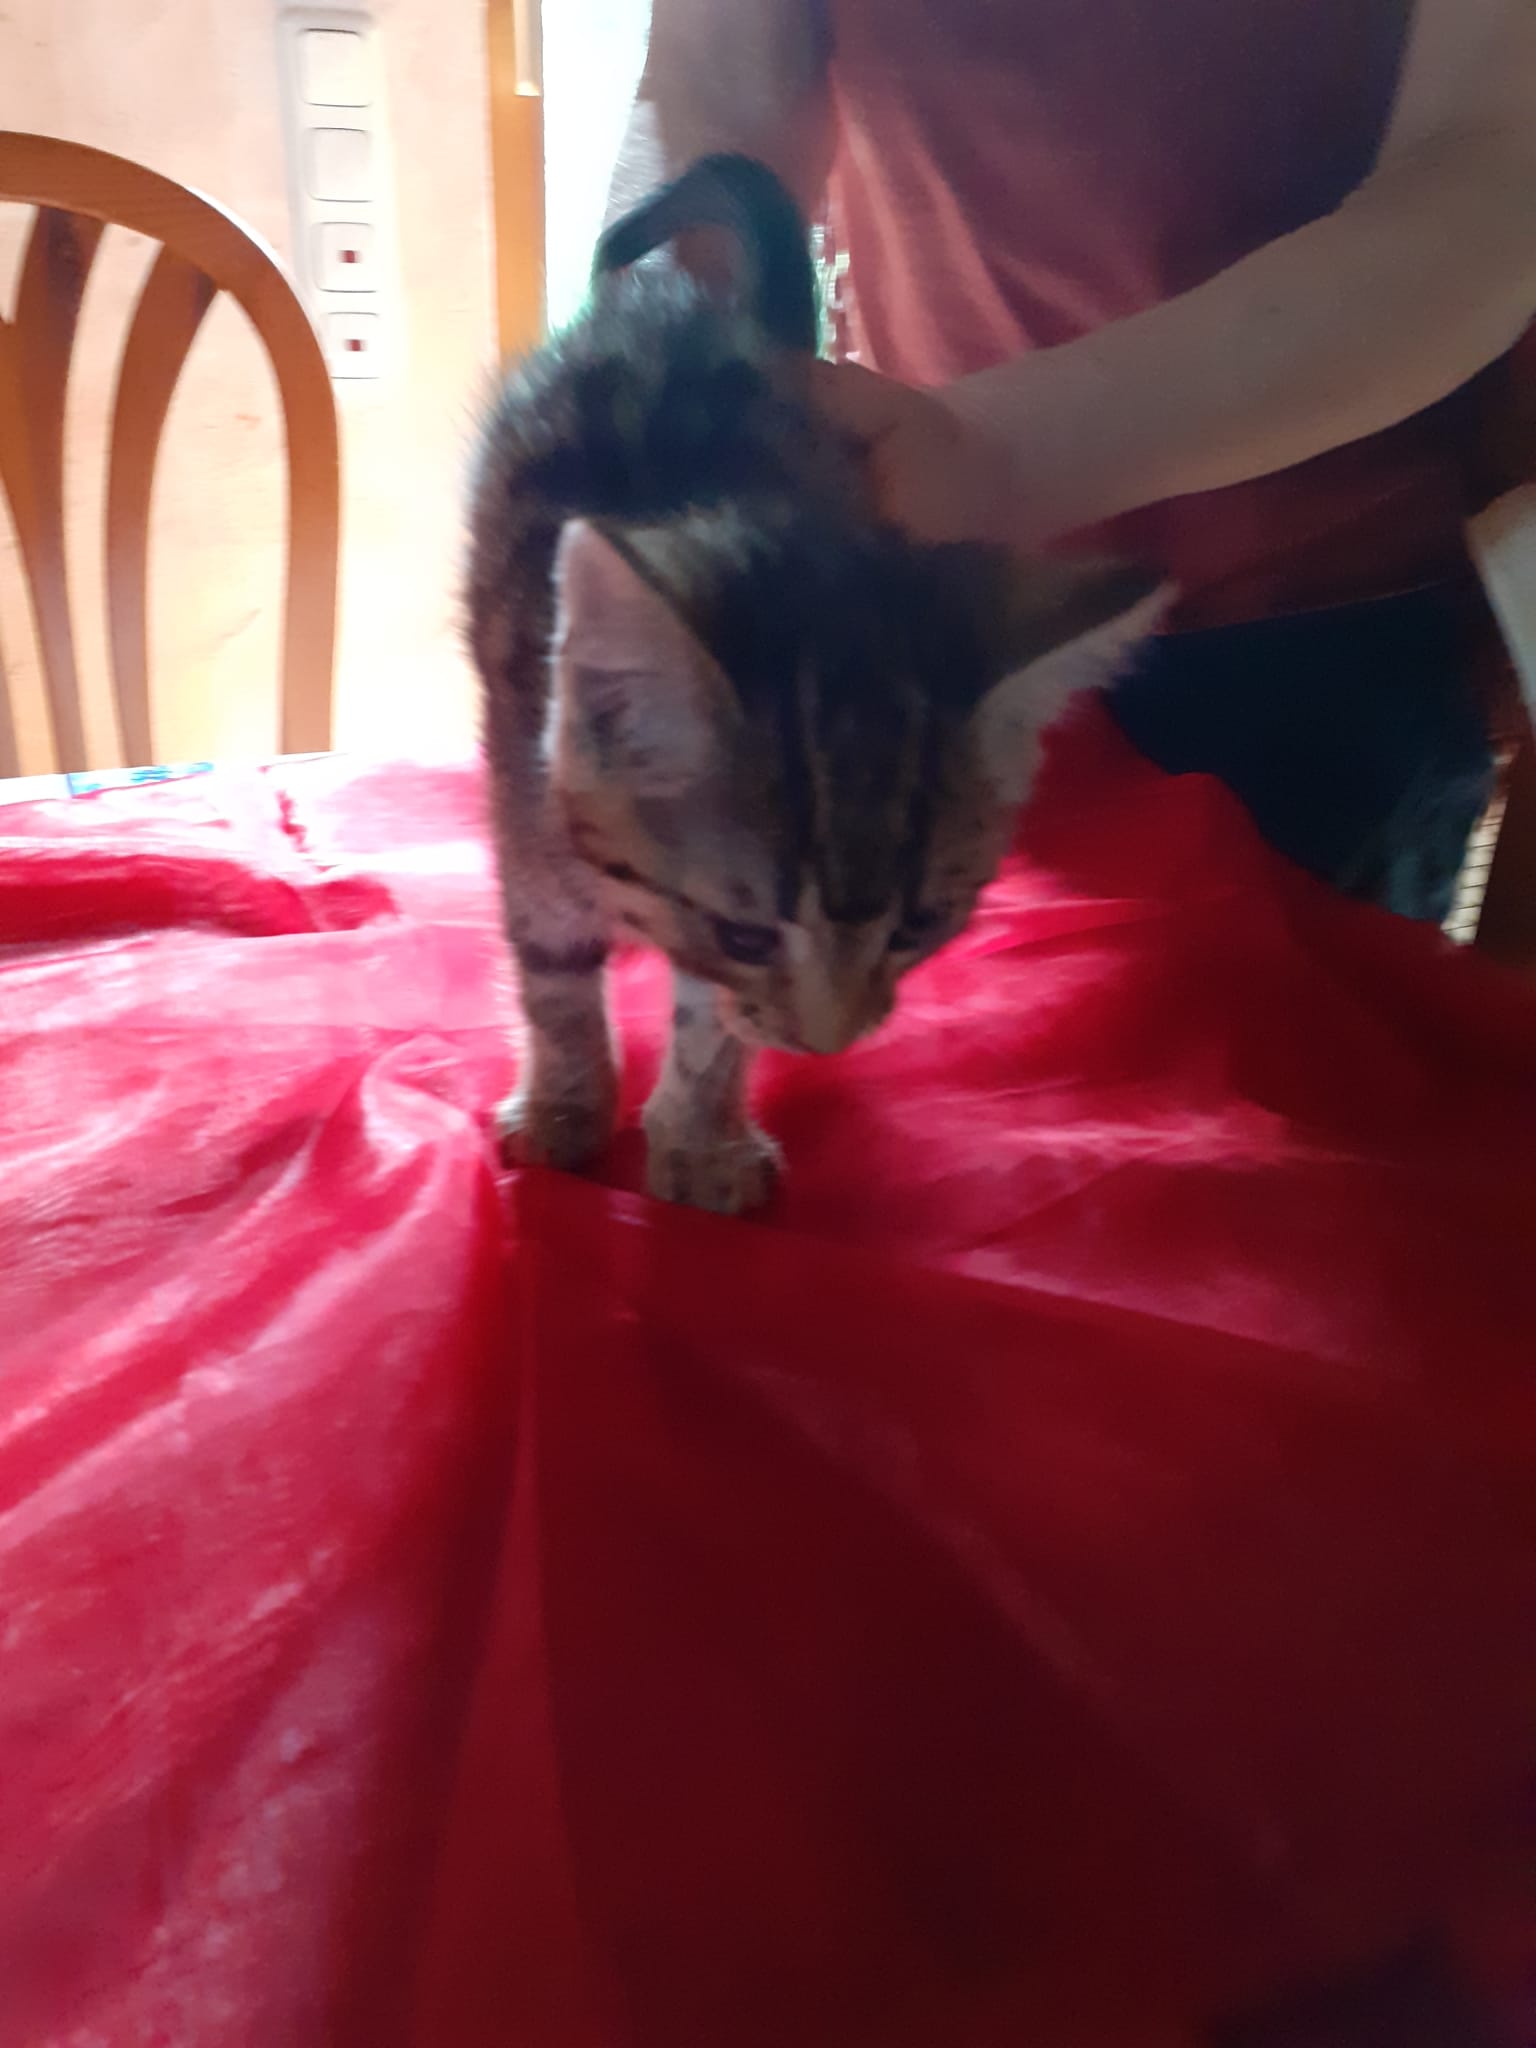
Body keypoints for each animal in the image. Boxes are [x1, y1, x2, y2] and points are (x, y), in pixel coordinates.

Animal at [467, 153, 1159, 1214]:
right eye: (747, 932)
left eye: (922, 924)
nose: (830, 1041)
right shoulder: (526, 795)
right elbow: (552, 972)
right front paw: (565, 1108)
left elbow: (714, 1024)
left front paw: (701, 1138)